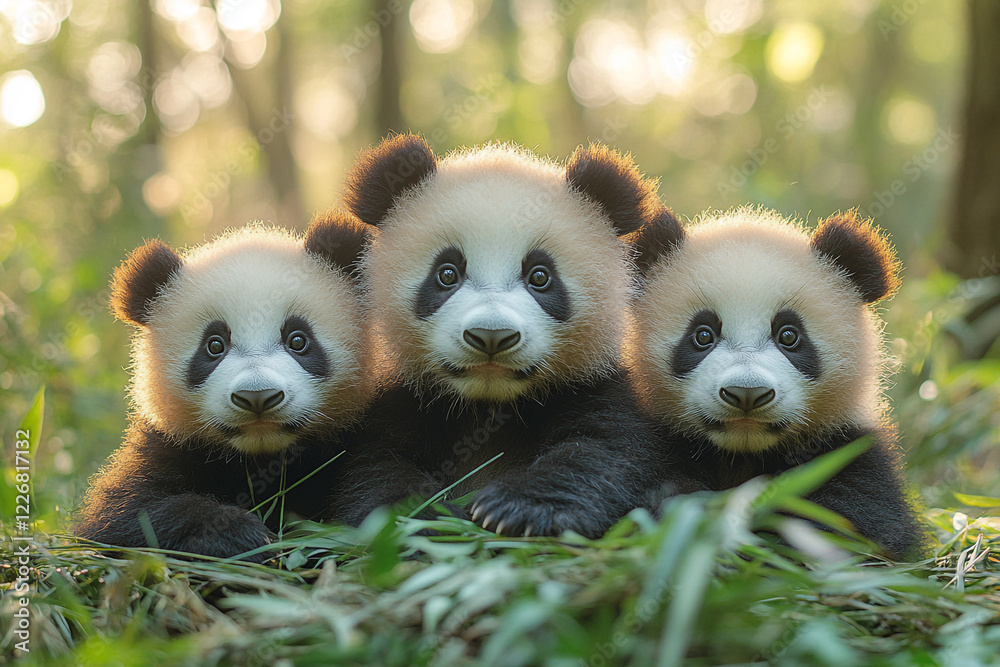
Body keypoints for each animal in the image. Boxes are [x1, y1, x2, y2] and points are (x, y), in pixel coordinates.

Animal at [75, 212, 373, 561]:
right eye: (214, 345)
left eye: (298, 340)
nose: (257, 397)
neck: (261, 459)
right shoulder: (167, 445)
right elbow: (122, 518)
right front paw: (236, 534)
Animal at [329, 134, 698, 538]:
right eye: (446, 273)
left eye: (540, 276)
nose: (491, 336)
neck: (489, 406)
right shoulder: (400, 399)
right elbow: (380, 469)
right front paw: (431, 522)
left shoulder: (597, 387)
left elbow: (601, 451)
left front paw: (516, 509)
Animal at [626, 206, 925, 558]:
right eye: (703, 335)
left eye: (789, 335)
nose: (746, 393)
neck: (741, 455)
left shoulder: (846, 450)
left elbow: (852, 523)